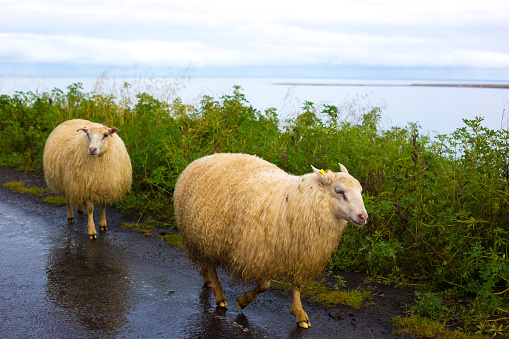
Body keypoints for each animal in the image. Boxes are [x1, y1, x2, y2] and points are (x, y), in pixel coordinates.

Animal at [173, 154, 368, 330]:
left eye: (360, 191)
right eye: (339, 191)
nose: (363, 217)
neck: (304, 200)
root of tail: (201, 159)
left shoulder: (299, 252)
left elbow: (297, 285)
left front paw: (300, 314)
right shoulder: (259, 252)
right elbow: (265, 285)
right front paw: (243, 301)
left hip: (205, 236)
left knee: (207, 263)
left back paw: (206, 278)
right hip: (207, 234)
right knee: (212, 265)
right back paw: (220, 295)